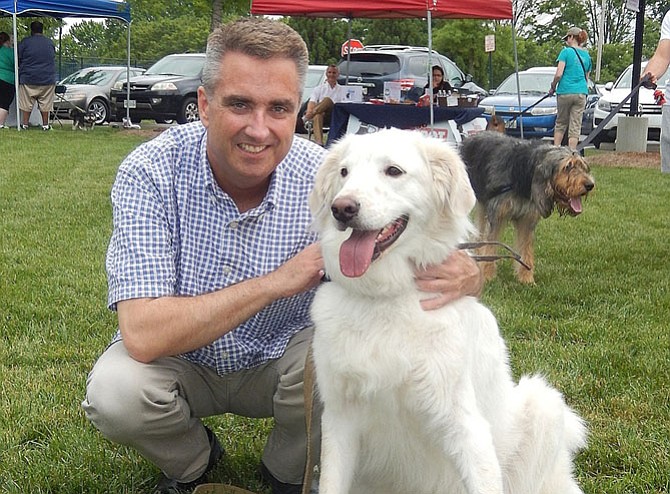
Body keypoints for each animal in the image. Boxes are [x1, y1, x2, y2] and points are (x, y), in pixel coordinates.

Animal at [462, 131, 600, 284]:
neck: (523, 175)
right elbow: (491, 245)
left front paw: (526, 278)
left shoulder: (527, 220)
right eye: (567, 167)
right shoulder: (497, 215)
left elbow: (526, 250)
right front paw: (487, 276)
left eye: (583, 167)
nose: (590, 185)